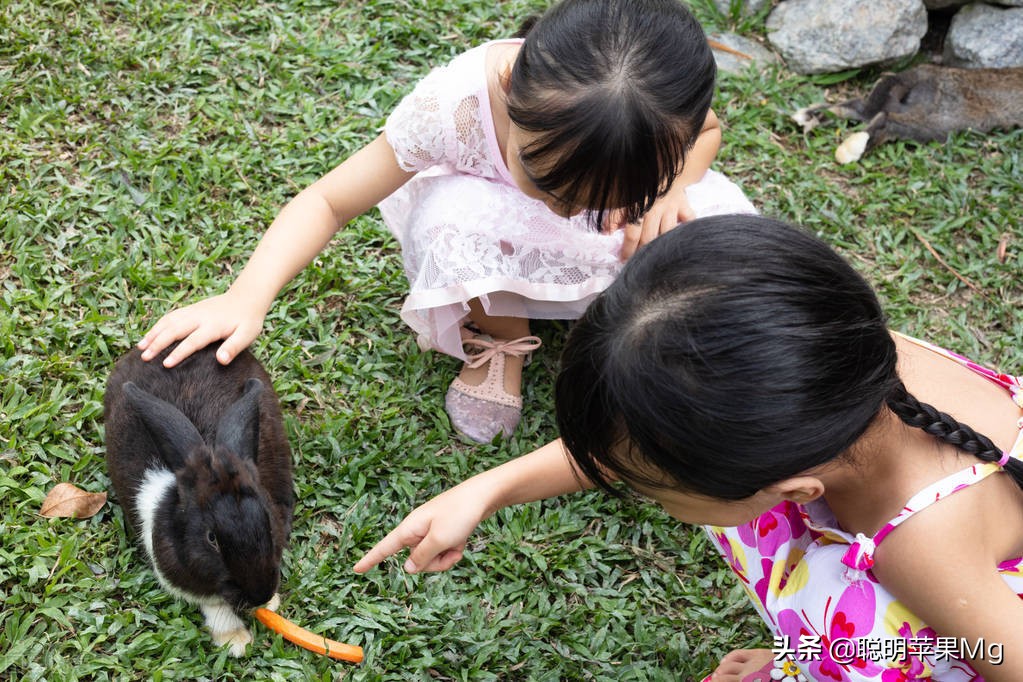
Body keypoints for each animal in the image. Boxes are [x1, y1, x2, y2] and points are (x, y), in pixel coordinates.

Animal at [103, 343, 294, 658]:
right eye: (211, 539)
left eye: (268, 522)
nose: (259, 595)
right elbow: (214, 606)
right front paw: (236, 642)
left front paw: (270, 605)